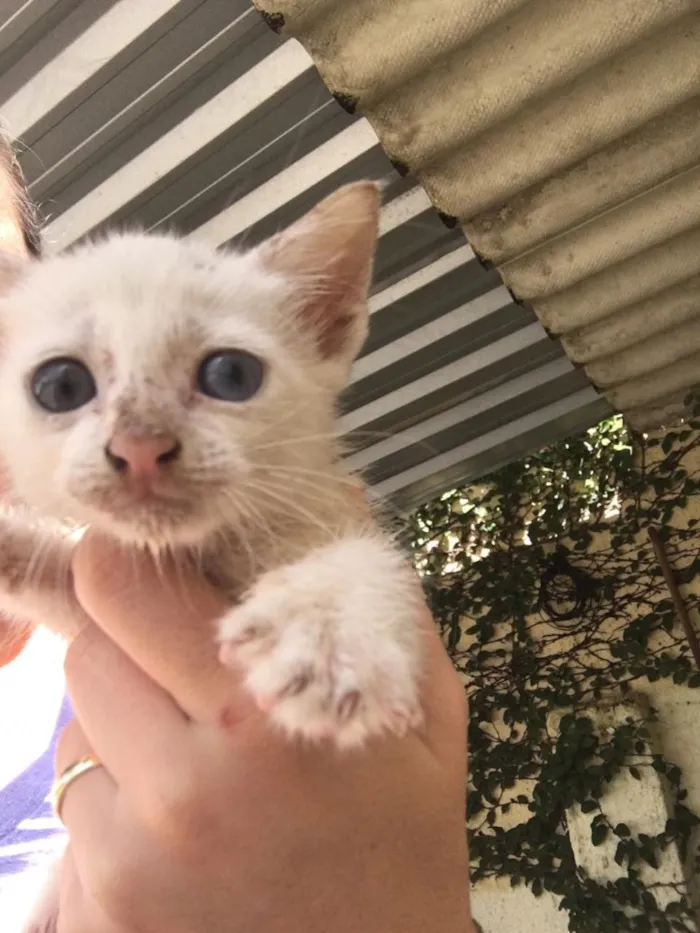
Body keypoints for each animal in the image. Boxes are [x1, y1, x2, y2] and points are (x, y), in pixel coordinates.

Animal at [0, 184, 424, 748]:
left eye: (232, 375)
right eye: (60, 386)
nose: (141, 445)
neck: (200, 555)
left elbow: (370, 556)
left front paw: (329, 635)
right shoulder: (77, 608)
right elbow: (45, 567)